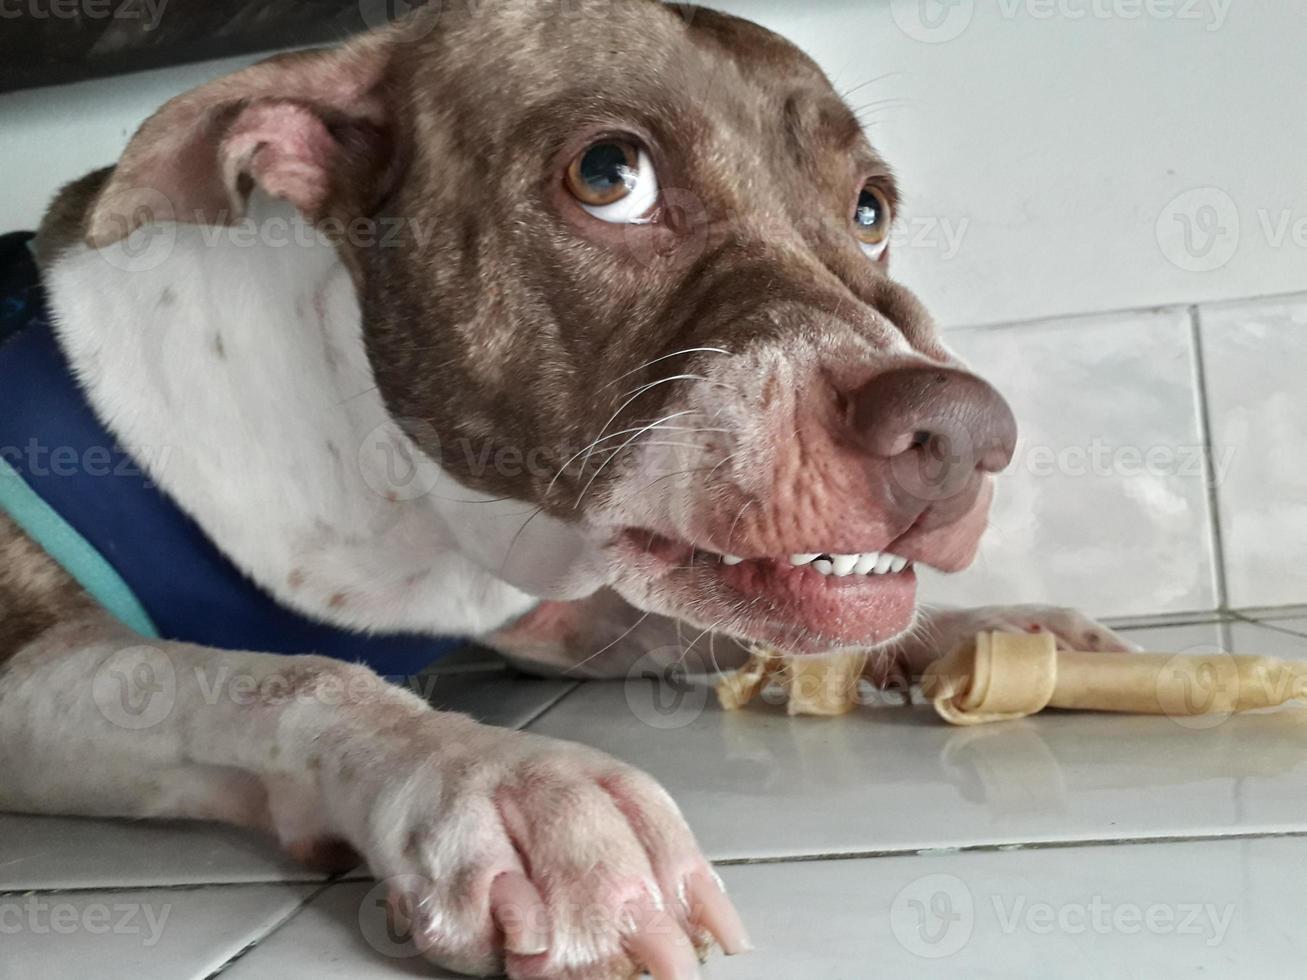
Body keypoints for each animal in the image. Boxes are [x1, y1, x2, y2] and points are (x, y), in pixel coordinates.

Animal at [0, 3, 1129, 977]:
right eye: (607, 175)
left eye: (869, 209)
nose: (963, 433)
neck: (385, 489)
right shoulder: (34, 665)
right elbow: (281, 677)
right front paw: (503, 786)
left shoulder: (551, 615)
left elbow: (709, 625)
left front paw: (976, 629)